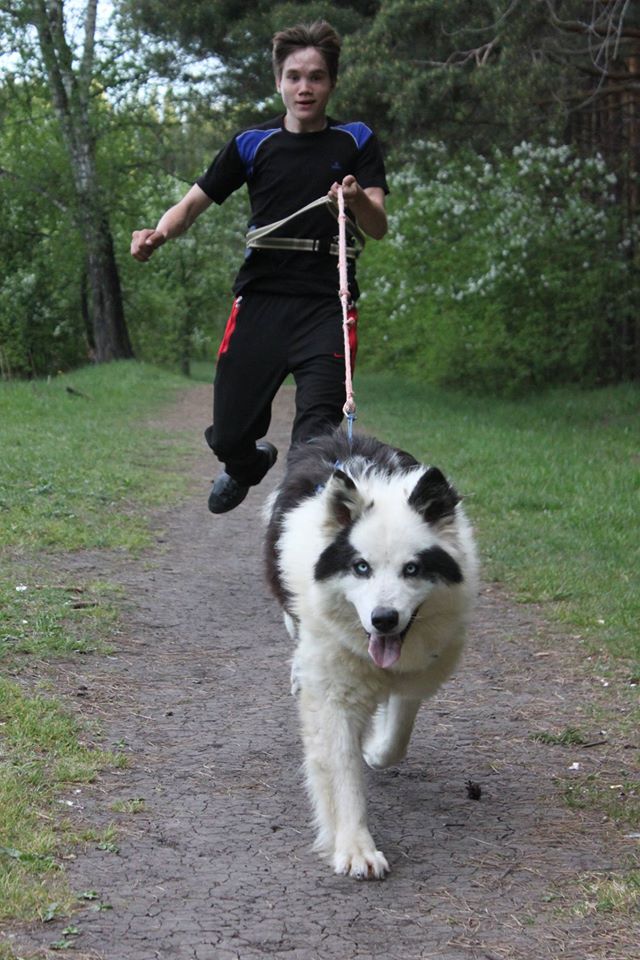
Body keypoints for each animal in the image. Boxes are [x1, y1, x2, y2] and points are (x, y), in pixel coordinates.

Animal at [262, 432, 478, 880]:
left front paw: (375, 748)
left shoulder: (416, 673)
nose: (383, 619)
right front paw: (355, 847)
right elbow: (342, 768)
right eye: (361, 567)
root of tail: (339, 436)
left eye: (412, 569)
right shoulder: (334, 693)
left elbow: (395, 740)